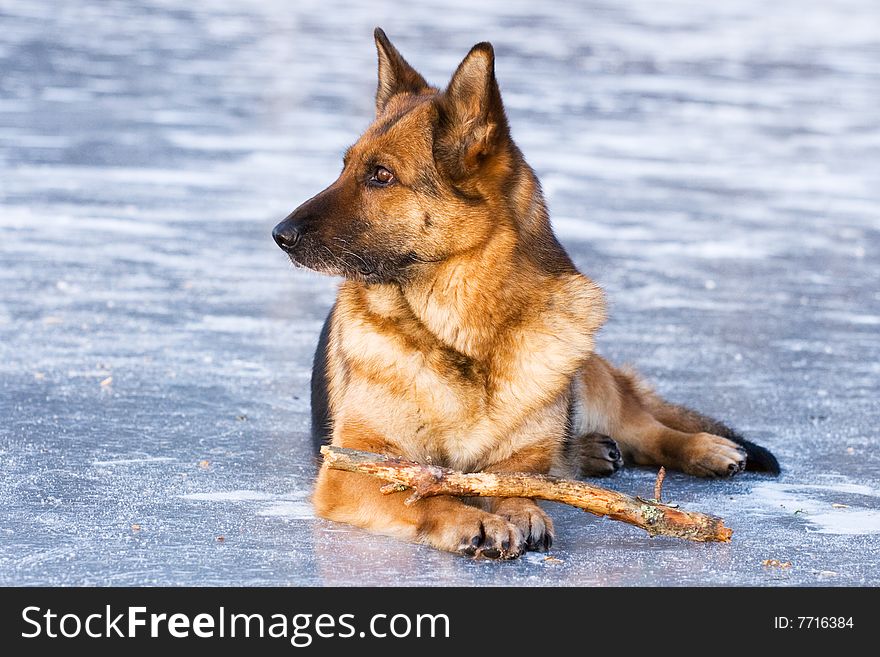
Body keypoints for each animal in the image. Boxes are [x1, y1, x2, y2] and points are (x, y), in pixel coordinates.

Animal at [274, 28, 776, 556]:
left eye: (381, 175)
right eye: (345, 166)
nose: (279, 234)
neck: (463, 334)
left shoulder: (516, 462)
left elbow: (518, 482)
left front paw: (521, 510)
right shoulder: (352, 469)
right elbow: (432, 493)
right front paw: (474, 520)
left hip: (590, 380)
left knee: (646, 427)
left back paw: (702, 447)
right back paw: (592, 451)